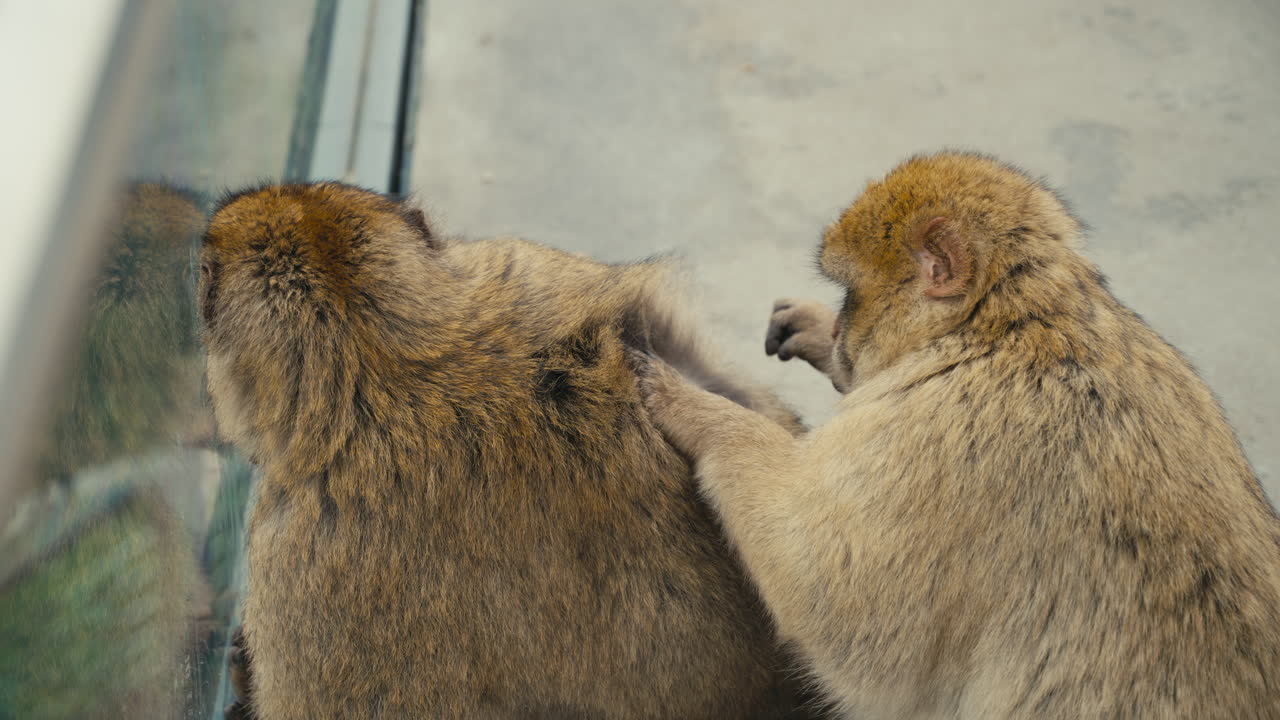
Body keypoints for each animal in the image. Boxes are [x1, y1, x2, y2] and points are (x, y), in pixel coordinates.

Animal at [632, 151, 1280, 719]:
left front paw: (706, 414)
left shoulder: (945, 433)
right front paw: (815, 333)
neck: (1009, 321)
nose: (840, 328)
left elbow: (844, 619)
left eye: (851, 293)